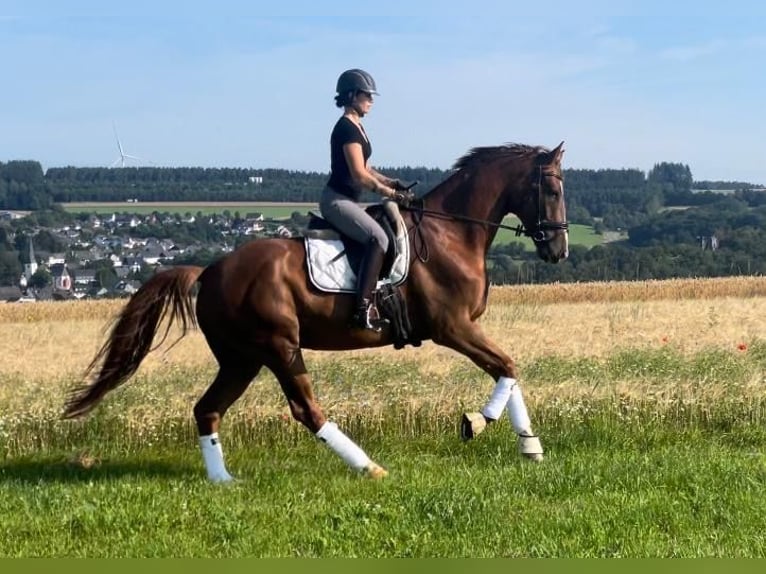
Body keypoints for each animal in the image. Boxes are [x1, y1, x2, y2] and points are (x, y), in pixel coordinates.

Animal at [61, 142, 568, 484]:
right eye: (550, 186)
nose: (558, 249)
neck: (452, 234)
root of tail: (209, 270)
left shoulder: (466, 328)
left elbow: (508, 370)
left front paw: (530, 446)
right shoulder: (453, 327)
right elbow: (506, 366)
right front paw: (476, 423)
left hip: (242, 358)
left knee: (207, 409)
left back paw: (222, 480)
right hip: (279, 347)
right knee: (305, 408)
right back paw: (369, 467)